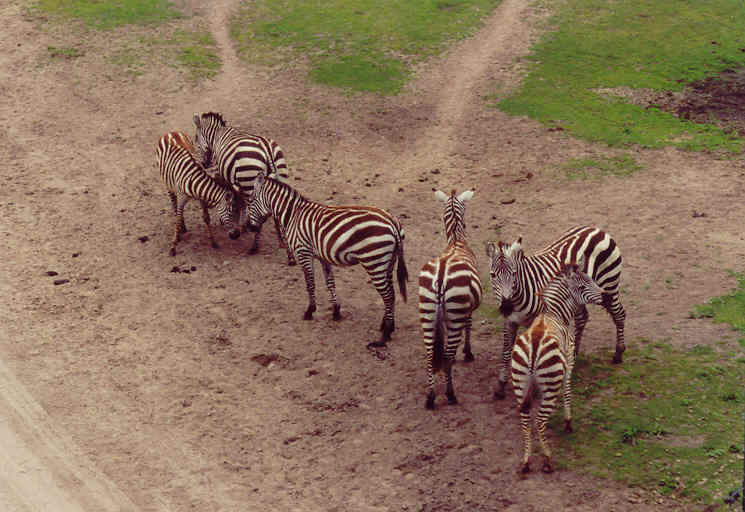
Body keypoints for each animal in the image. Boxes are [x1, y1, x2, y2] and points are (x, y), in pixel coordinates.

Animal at [192, 112, 294, 264]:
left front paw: (237, 222)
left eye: (196, 139)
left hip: (250, 180)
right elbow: (241, 203)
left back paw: (254, 247)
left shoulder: (227, 177)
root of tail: (267, 150)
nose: (205, 164)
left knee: (260, 216)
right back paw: (284, 247)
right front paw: (243, 224)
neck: (217, 136)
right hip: (279, 175)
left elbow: (236, 201)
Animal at [244, 174, 406, 346]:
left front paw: (310, 311)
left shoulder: (303, 253)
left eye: (250, 200)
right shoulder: (323, 256)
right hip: (387, 263)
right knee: (391, 293)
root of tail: (392, 223)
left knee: (388, 295)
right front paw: (336, 311)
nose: (249, 227)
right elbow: (330, 283)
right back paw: (387, 326)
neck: (293, 215)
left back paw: (384, 336)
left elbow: (310, 284)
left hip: (374, 262)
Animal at [418, 190, 482, 410]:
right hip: (454, 314)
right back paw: (451, 395)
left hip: (427, 313)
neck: (456, 240)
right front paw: (468, 353)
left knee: (430, 357)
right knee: (445, 358)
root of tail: (441, 276)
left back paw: (430, 398)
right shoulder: (467, 310)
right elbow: (469, 327)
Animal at [486, 227, 624, 400]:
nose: (506, 306)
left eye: (514, 273)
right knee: (582, 318)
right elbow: (506, 352)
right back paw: (574, 356)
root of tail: (597, 229)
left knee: (619, 314)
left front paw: (534, 387)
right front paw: (501, 385)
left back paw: (618, 353)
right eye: (493, 275)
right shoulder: (510, 321)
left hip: (609, 285)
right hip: (579, 298)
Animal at [512, 266, 604, 474]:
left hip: (519, 383)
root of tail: (535, 342)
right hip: (551, 383)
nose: (605, 295)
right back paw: (547, 459)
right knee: (539, 420)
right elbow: (567, 391)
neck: (554, 313)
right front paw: (568, 422)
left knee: (525, 420)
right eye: (583, 285)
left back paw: (526, 461)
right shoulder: (569, 360)